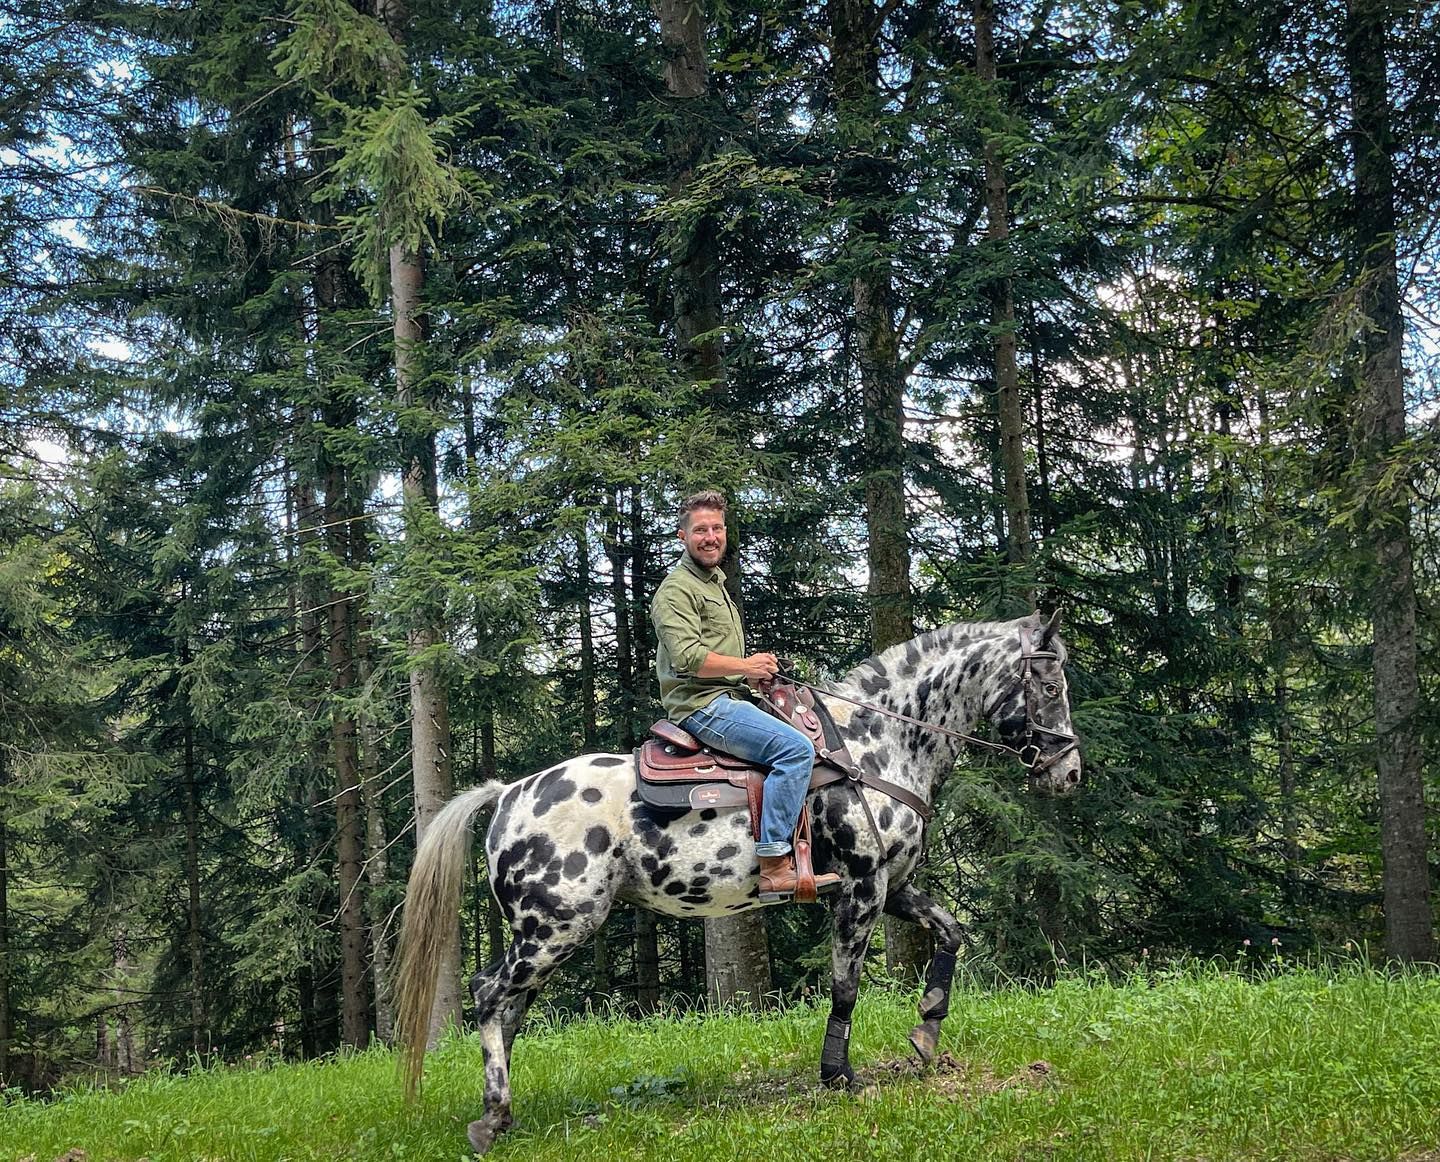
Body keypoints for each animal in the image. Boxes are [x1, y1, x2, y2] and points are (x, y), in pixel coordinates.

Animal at [394, 610, 1082, 1153]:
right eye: (1050, 684)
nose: (1069, 772)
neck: (874, 747)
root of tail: (507, 795)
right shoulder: (861, 886)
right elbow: (846, 985)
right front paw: (837, 1075)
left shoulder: (893, 886)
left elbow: (951, 933)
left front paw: (926, 1034)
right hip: (556, 927)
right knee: (489, 995)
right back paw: (493, 1117)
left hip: (543, 934)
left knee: (508, 1006)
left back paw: (499, 1112)